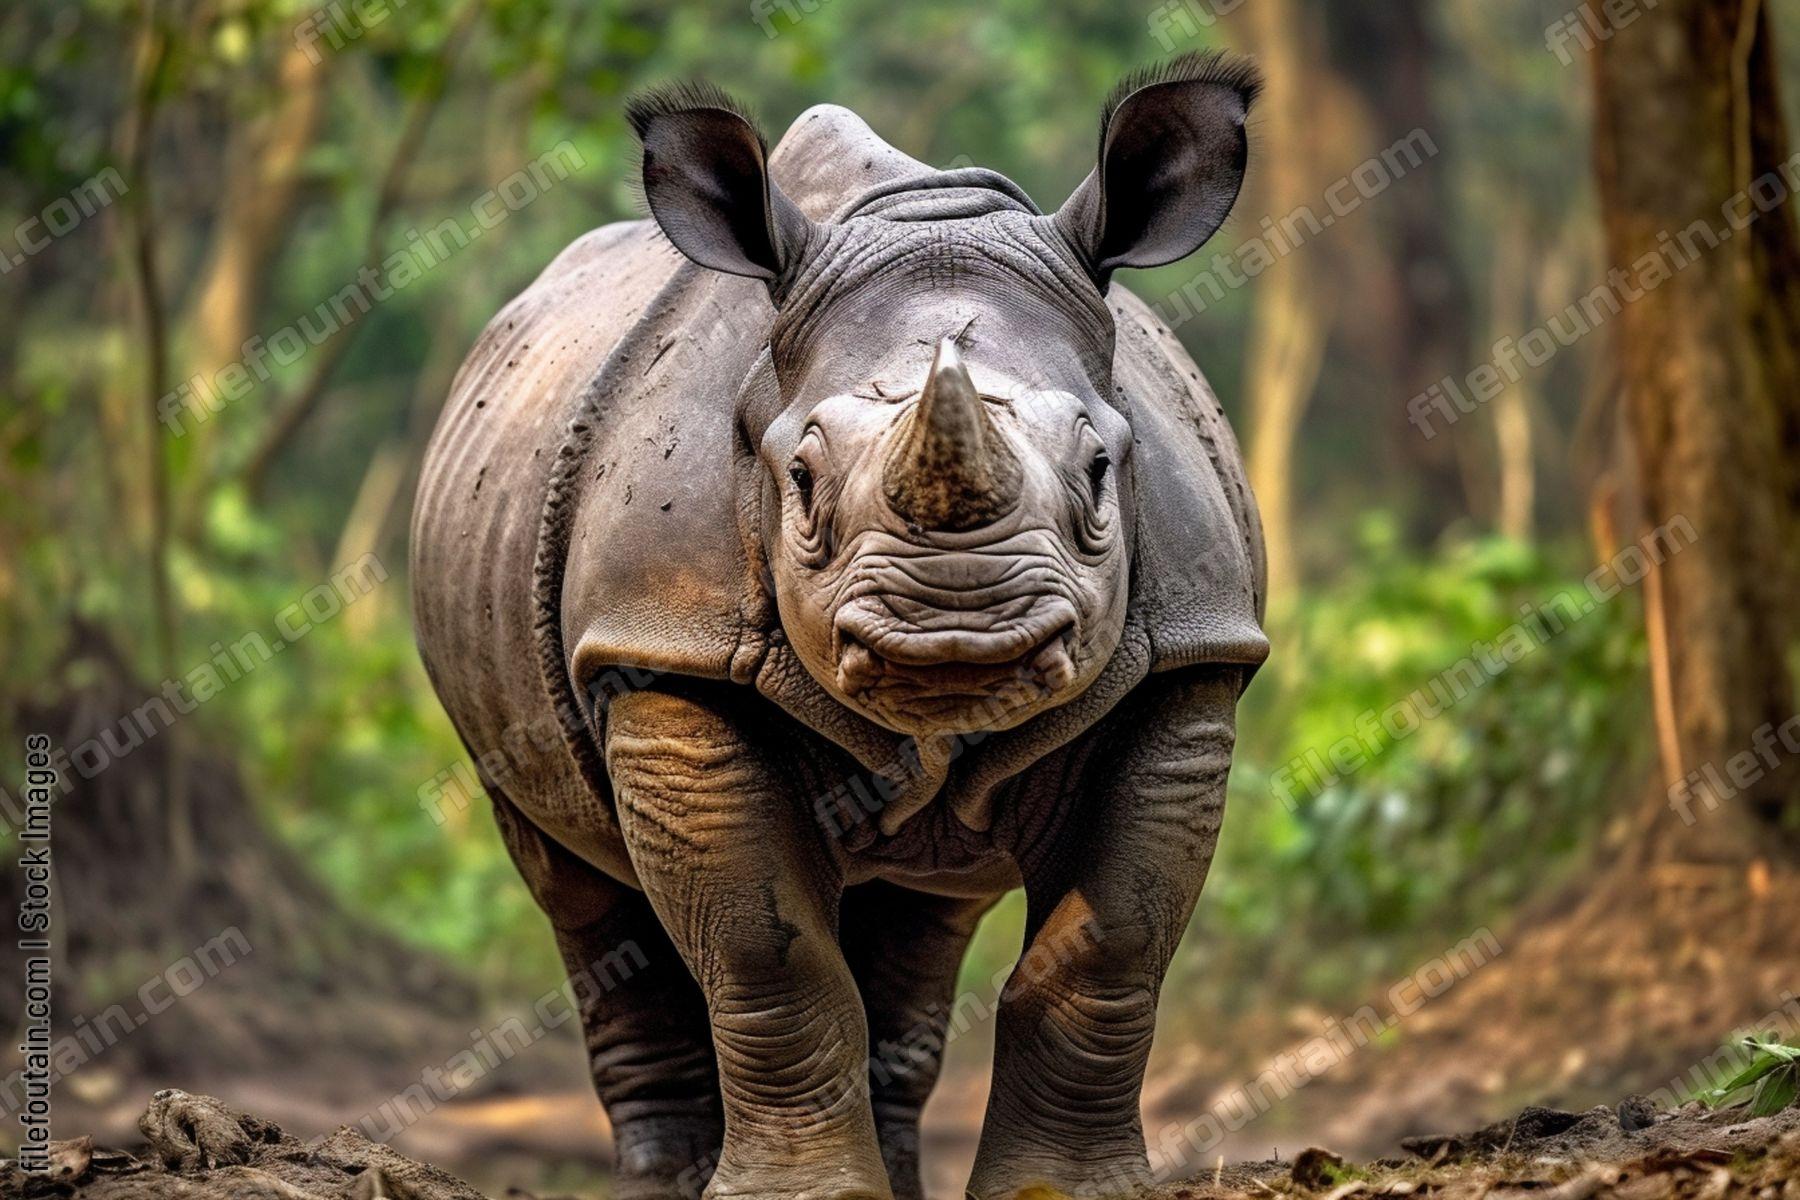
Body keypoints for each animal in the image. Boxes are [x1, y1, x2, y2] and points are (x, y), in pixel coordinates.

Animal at [411, 51, 1268, 1200]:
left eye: (1101, 469)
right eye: (802, 481)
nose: (958, 633)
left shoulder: (1188, 658)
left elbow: (1112, 942)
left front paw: (1064, 1192)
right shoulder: (665, 650)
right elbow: (765, 952)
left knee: (922, 915)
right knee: (581, 893)